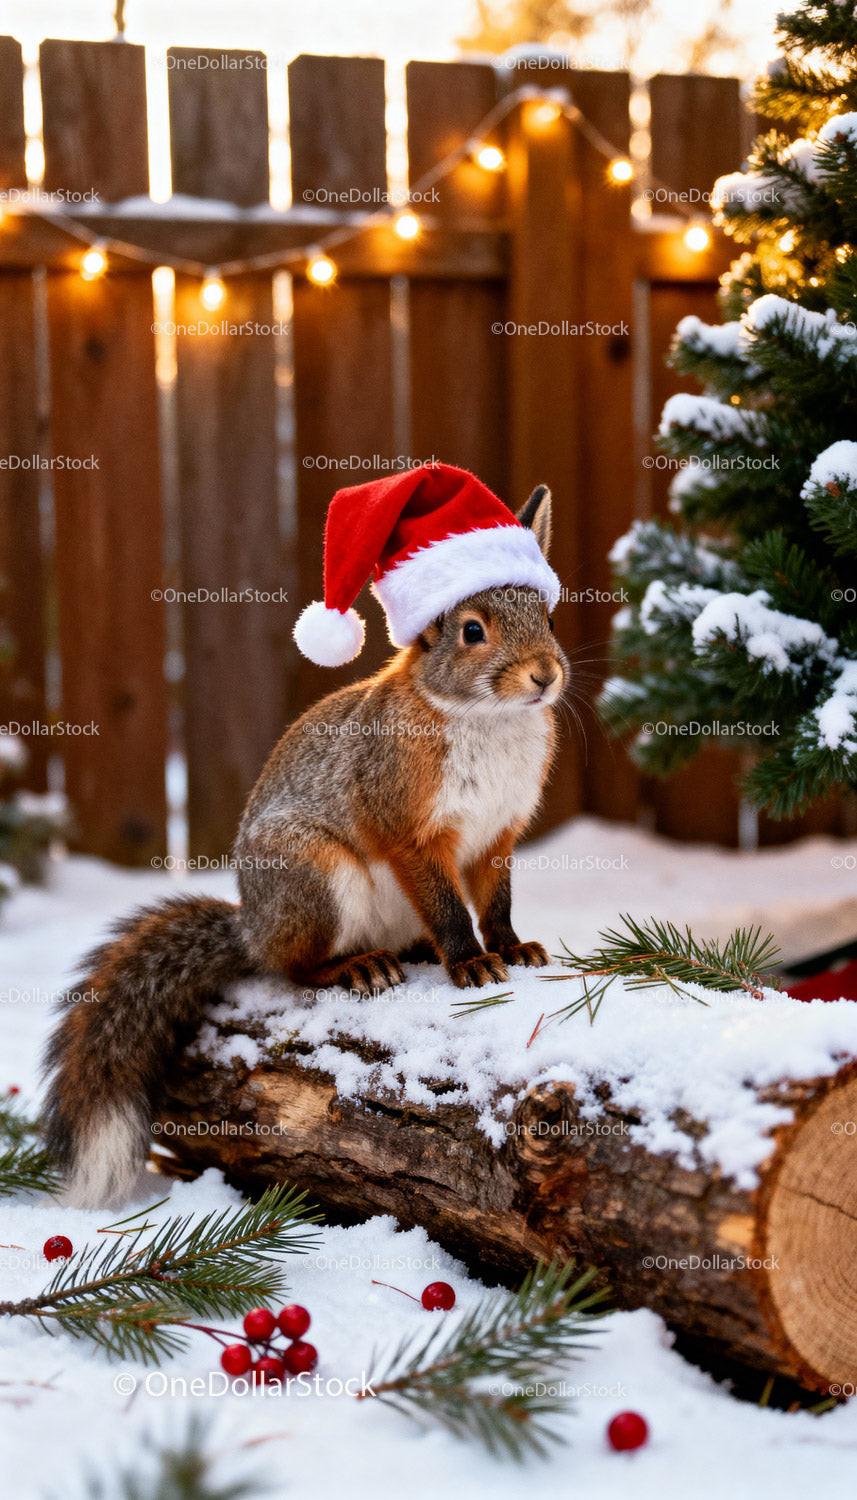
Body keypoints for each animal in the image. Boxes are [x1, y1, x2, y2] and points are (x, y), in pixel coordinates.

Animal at [43, 464, 567, 1207]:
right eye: (472, 630)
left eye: (547, 616)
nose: (545, 675)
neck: (486, 722)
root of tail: (252, 928)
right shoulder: (409, 830)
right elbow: (446, 905)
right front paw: (470, 963)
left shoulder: (497, 833)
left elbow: (494, 903)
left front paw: (513, 948)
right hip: (318, 877)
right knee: (295, 969)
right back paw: (356, 967)